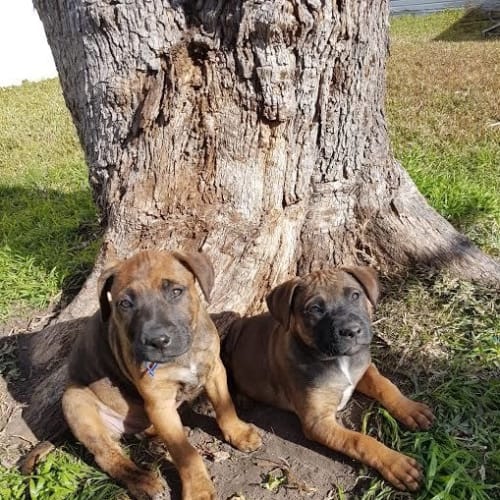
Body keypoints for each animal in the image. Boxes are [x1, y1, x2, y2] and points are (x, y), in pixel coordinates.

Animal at [62, 250, 262, 500]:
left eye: (176, 291)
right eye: (125, 304)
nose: (157, 341)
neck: (183, 355)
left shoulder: (215, 369)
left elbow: (225, 406)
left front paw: (238, 432)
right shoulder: (159, 401)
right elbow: (185, 453)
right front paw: (198, 488)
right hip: (74, 401)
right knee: (107, 455)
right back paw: (143, 480)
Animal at [223, 270, 434, 492]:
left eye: (355, 295)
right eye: (315, 309)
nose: (351, 330)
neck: (339, 360)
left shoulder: (364, 368)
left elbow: (384, 385)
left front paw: (411, 409)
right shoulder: (317, 422)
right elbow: (360, 441)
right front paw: (397, 463)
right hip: (231, 335)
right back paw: (242, 398)